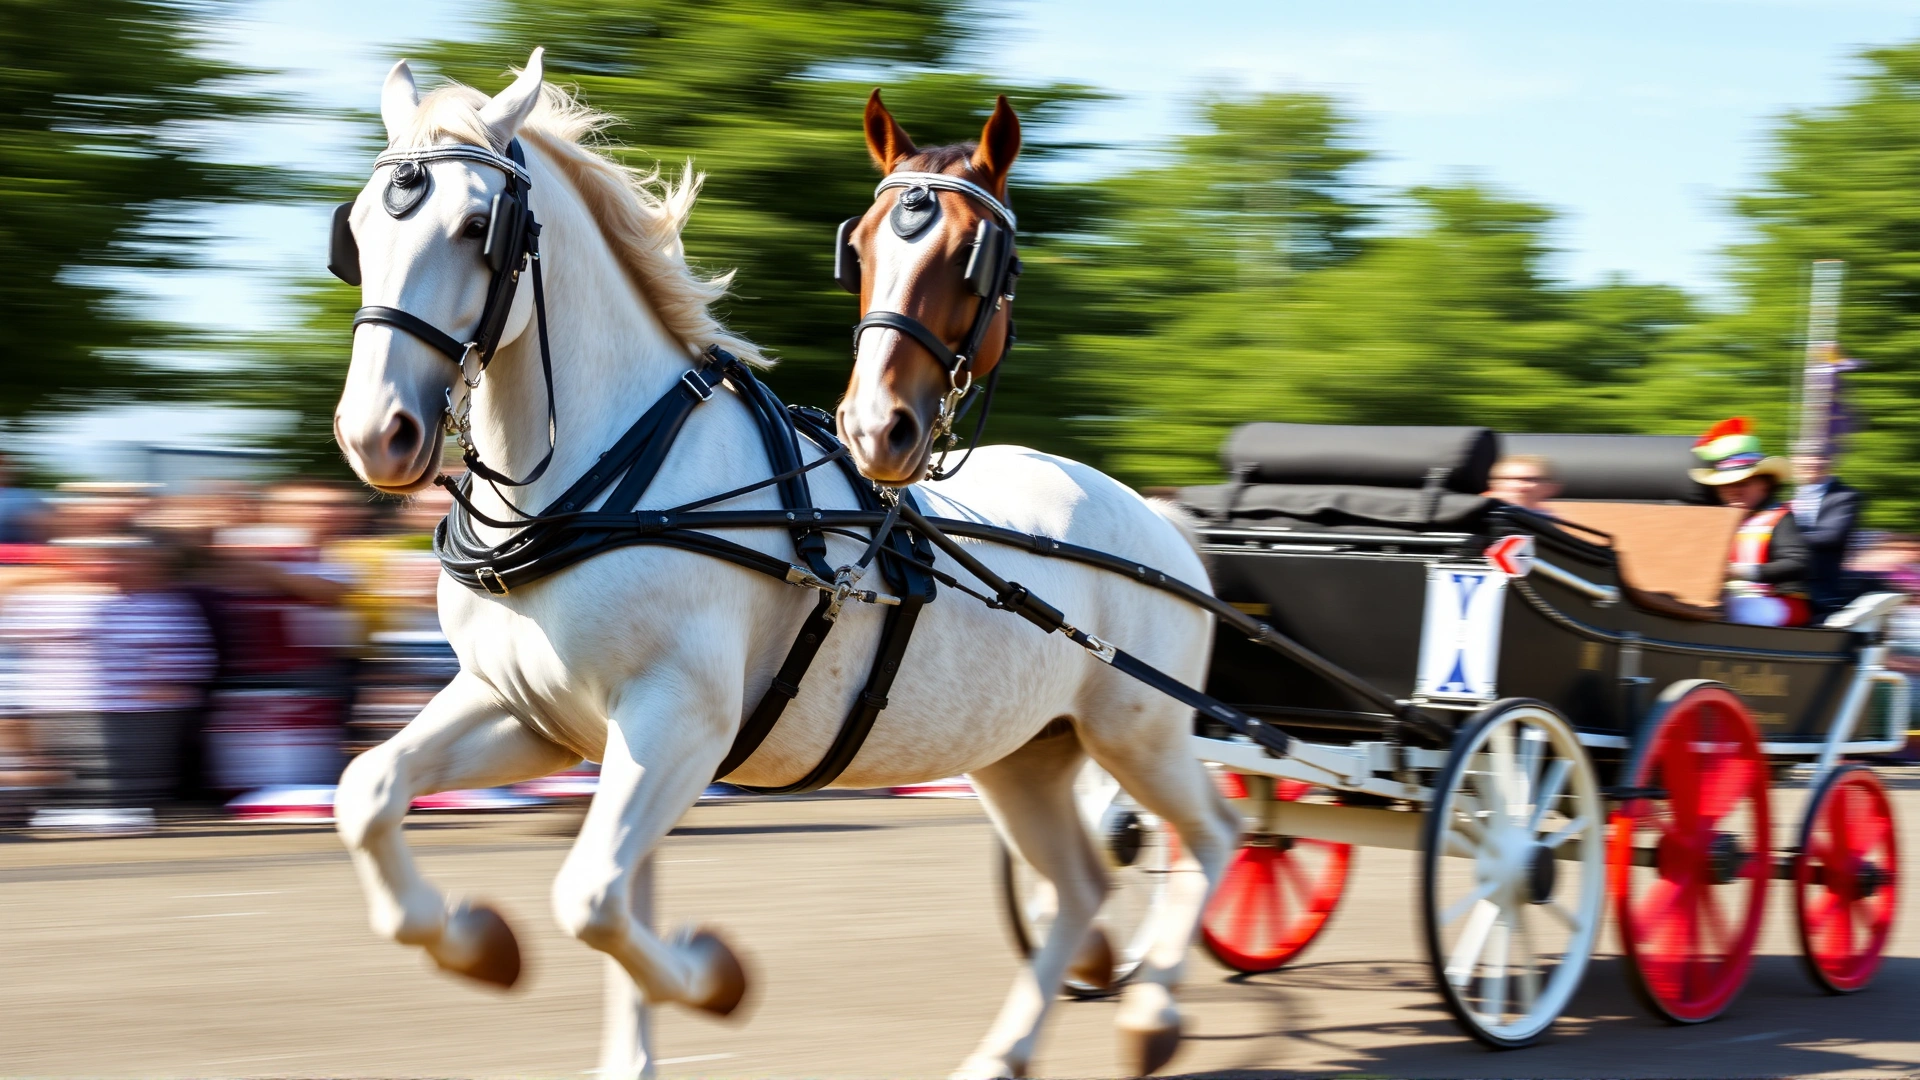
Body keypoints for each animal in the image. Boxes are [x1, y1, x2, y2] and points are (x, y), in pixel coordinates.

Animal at [330, 49, 1238, 1080]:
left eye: (478, 226)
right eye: (358, 230)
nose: (376, 433)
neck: (614, 479)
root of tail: (1163, 521)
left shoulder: (679, 720)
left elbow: (594, 896)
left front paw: (711, 976)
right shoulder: (534, 715)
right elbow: (371, 796)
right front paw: (479, 944)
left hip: (1142, 732)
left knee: (1214, 836)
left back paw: (1152, 1009)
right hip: (1025, 755)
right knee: (1083, 884)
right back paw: (1007, 1049)